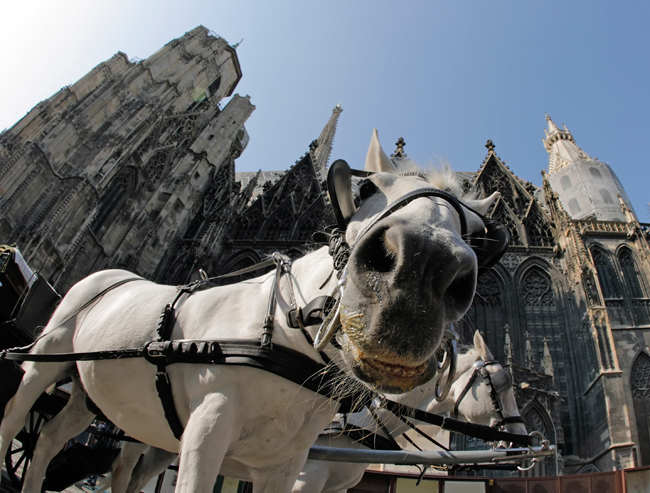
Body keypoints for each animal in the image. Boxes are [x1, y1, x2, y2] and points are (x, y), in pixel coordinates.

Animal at [0, 129, 498, 490]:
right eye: (365, 189)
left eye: (480, 233)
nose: (419, 271)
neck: (282, 333)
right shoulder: (207, 435)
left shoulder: (283, 465)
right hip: (44, 363)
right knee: (14, 422)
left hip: (94, 395)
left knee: (52, 442)